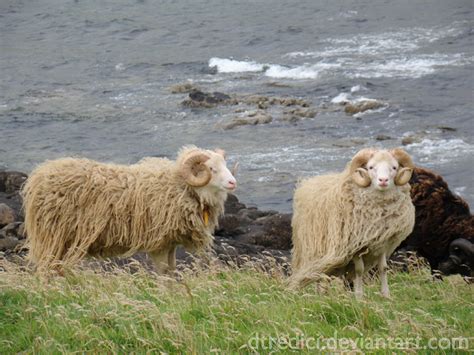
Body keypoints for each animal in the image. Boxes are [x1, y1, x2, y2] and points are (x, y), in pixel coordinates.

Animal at [22, 146, 237, 274]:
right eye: (211, 169)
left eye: (225, 164)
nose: (233, 182)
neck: (180, 186)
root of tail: (38, 177)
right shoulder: (158, 243)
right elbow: (163, 273)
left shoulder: (169, 243)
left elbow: (171, 270)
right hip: (53, 236)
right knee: (47, 270)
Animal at [288, 149, 414, 298]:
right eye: (371, 167)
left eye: (394, 167)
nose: (383, 181)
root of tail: (307, 182)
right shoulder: (355, 246)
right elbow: (359, 270)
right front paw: (359, 296)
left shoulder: (382, 243)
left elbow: (383, 268)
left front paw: (386, 295)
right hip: (317, 250)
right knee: (319, 272)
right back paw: (322, 295)